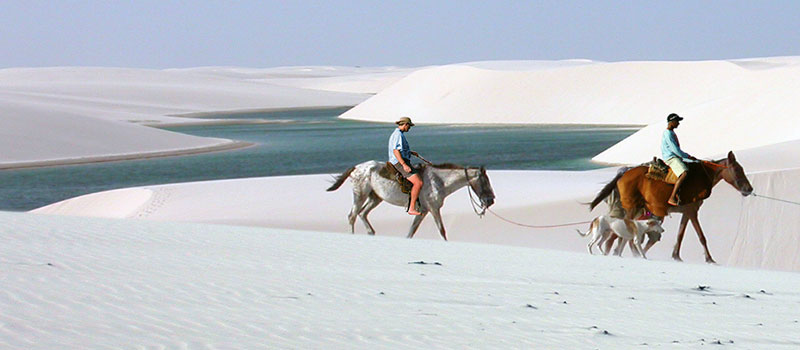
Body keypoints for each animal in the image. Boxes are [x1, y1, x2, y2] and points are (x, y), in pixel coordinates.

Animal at [324, 160, 494, 239]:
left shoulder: (423, 211)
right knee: (352, 215)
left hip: (375, 198)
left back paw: (371, 233)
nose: (490, 201)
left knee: (362, 213)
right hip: (360, 195)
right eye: (485, 181)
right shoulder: (433, 209)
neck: (439, 181)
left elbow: (411, 231)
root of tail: (356, 167)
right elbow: (442, 230)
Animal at [592, 150, 752, 262]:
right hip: (631, 208)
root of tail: (623, 175)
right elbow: (701, 236)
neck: (703, 178)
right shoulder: (692, 211)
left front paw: (676, 256)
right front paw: (709, 259)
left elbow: (680, 234)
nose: (749, 189)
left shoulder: (687, 212)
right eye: (737, 170)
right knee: (623, 232)